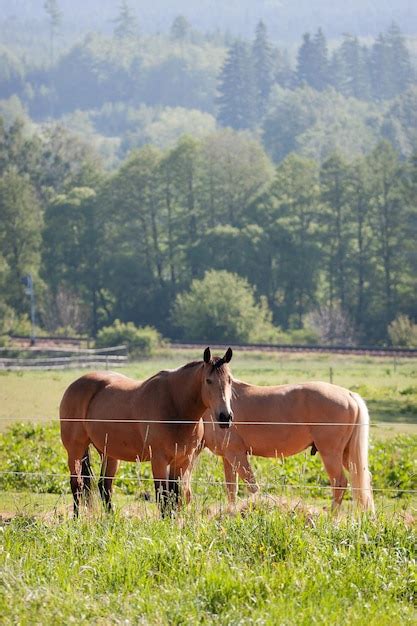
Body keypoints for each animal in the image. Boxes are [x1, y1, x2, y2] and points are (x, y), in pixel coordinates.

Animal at [59, 344, 232, 516]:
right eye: (208, 381)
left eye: (229, 380)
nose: (225, 416)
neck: (175, 406)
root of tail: (75, 385)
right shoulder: (159, 460)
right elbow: (163, 497)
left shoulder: (183, 460)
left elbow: (174, 496)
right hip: (75, 450)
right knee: (77, 485)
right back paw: (76, 519)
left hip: (108, 453)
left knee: (104, 486)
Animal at [192, 376, 374, 512]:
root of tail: (349, 395)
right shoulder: (228, 458)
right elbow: (232, 490)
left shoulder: (236, 454)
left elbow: (252, 487)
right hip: (347, 456)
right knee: (362, 483)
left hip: (330, 454)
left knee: (340, 484)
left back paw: (332, 519)